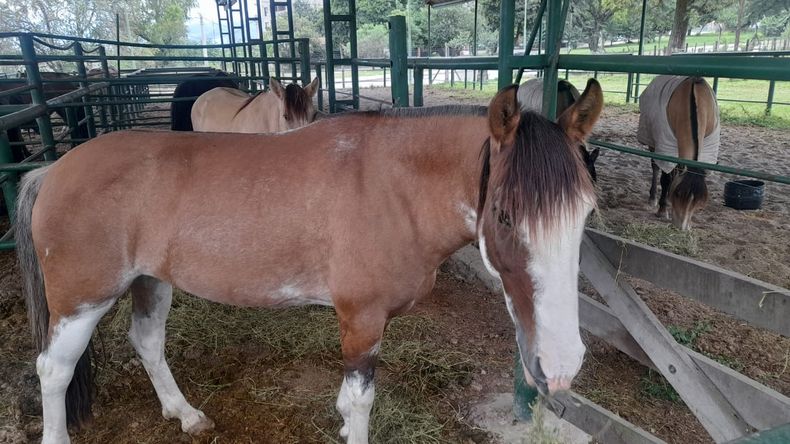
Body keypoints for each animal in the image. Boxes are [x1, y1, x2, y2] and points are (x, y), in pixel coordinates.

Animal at [638, 76, 719, 230]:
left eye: (699, 202)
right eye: (678, 194)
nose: (681, 227)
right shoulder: (664, 145)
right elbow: (665, 178)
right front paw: (662, 210)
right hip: (653, 142)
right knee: (656, 168)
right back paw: (653, 199)